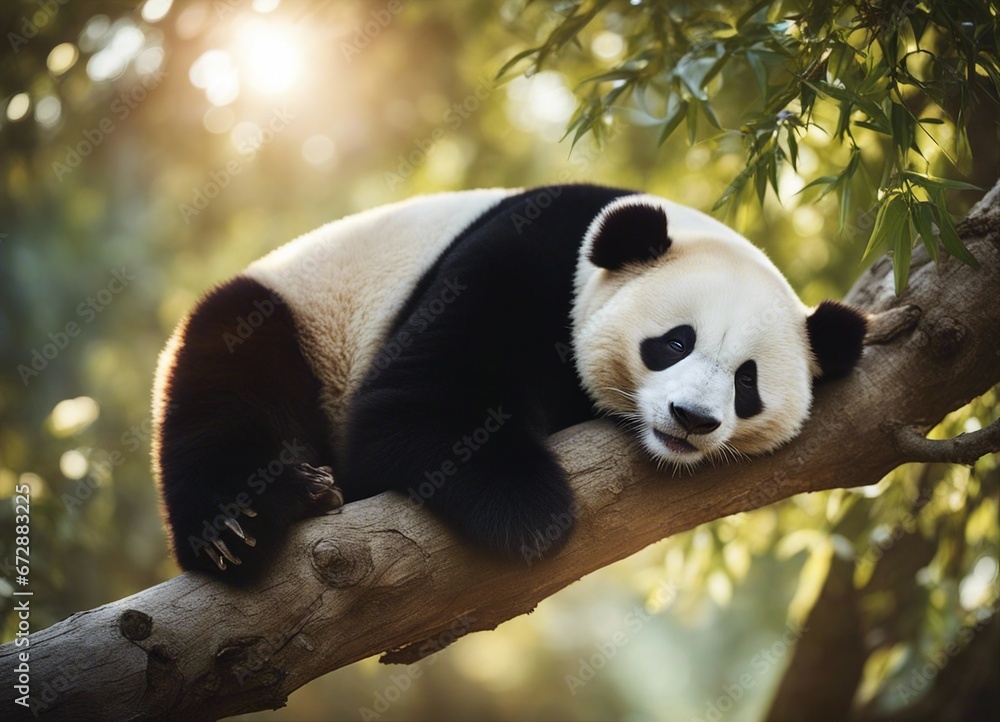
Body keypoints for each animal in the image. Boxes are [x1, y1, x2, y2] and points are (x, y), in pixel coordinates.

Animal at [152, 184, 867, 582]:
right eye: (674, 342)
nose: (691, 418)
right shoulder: (524, 257)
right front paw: (530, 511)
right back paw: (242, 525)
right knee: (224, 393)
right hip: (292, 317)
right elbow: (416, 403)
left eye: (747, 384)